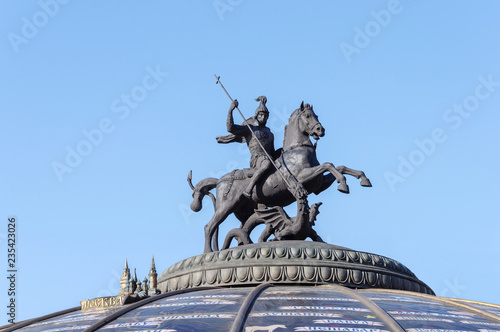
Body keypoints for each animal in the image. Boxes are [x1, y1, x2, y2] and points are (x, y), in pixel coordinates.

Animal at [189, 101, 370, 252]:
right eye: (307, 116)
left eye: (316, 115)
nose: (321, 130)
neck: (298, 149)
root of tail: (220, 180)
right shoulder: (303, 178)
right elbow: (328, 164)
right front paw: (344, 184)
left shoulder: (318, 185)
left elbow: (339, 167)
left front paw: (362, 179)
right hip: (226, 206)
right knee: (210, 226)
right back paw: (208, 252)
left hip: (242, 211)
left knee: (242, 228)